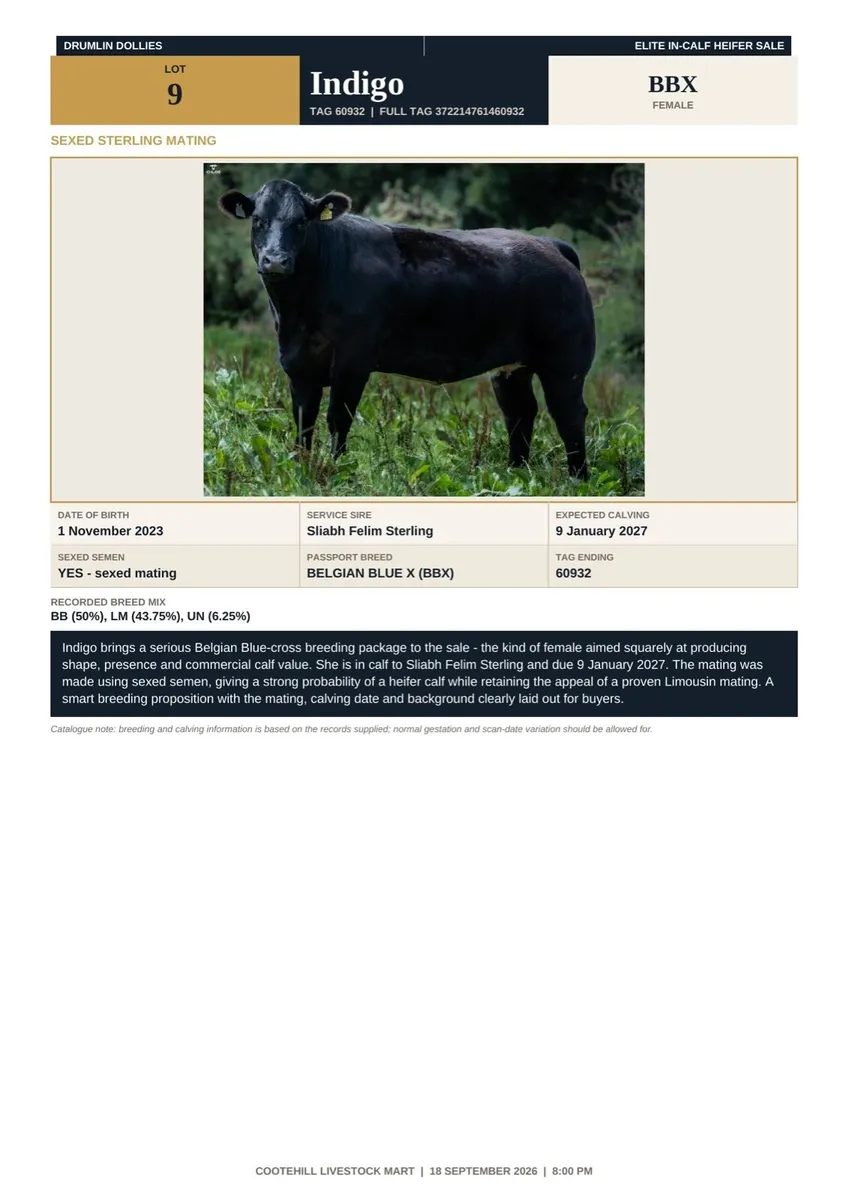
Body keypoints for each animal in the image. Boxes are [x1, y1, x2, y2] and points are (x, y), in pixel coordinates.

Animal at [218, 179, 596, 476]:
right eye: (258, 219)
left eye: (300, 223)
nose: (276, 260)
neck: (297, 313)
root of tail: (549, 245)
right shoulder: (298, 363)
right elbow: (303, 420)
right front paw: (302, 469)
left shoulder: (353, 359)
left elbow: (338, 418)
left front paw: (337, 470)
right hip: (511, 367)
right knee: (519, 413)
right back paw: (516, 472)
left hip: (565, 362)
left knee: (568, 413)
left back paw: (578, 478)